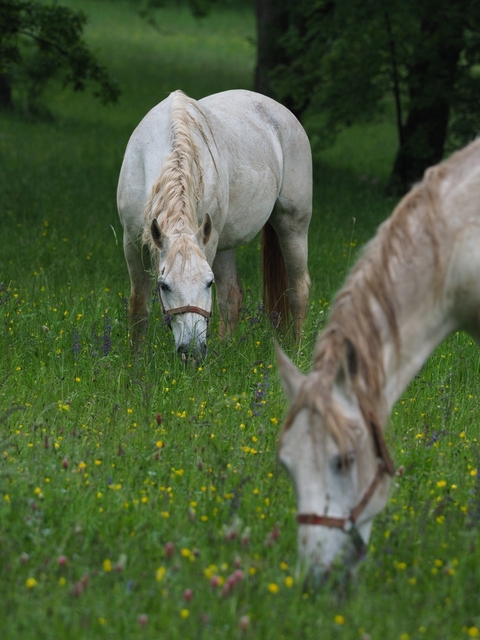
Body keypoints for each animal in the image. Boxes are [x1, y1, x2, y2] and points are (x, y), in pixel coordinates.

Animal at [117, 89, 312, 359]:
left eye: (208, 283)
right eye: (164, 286)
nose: (192, 352)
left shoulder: (207, 245)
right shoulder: (132, 244)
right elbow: (138, 308)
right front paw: (135, 360)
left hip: (292, 226)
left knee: (299, 289)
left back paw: (298, 351)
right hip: (224, 243)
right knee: (232, 297)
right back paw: (225, 349)